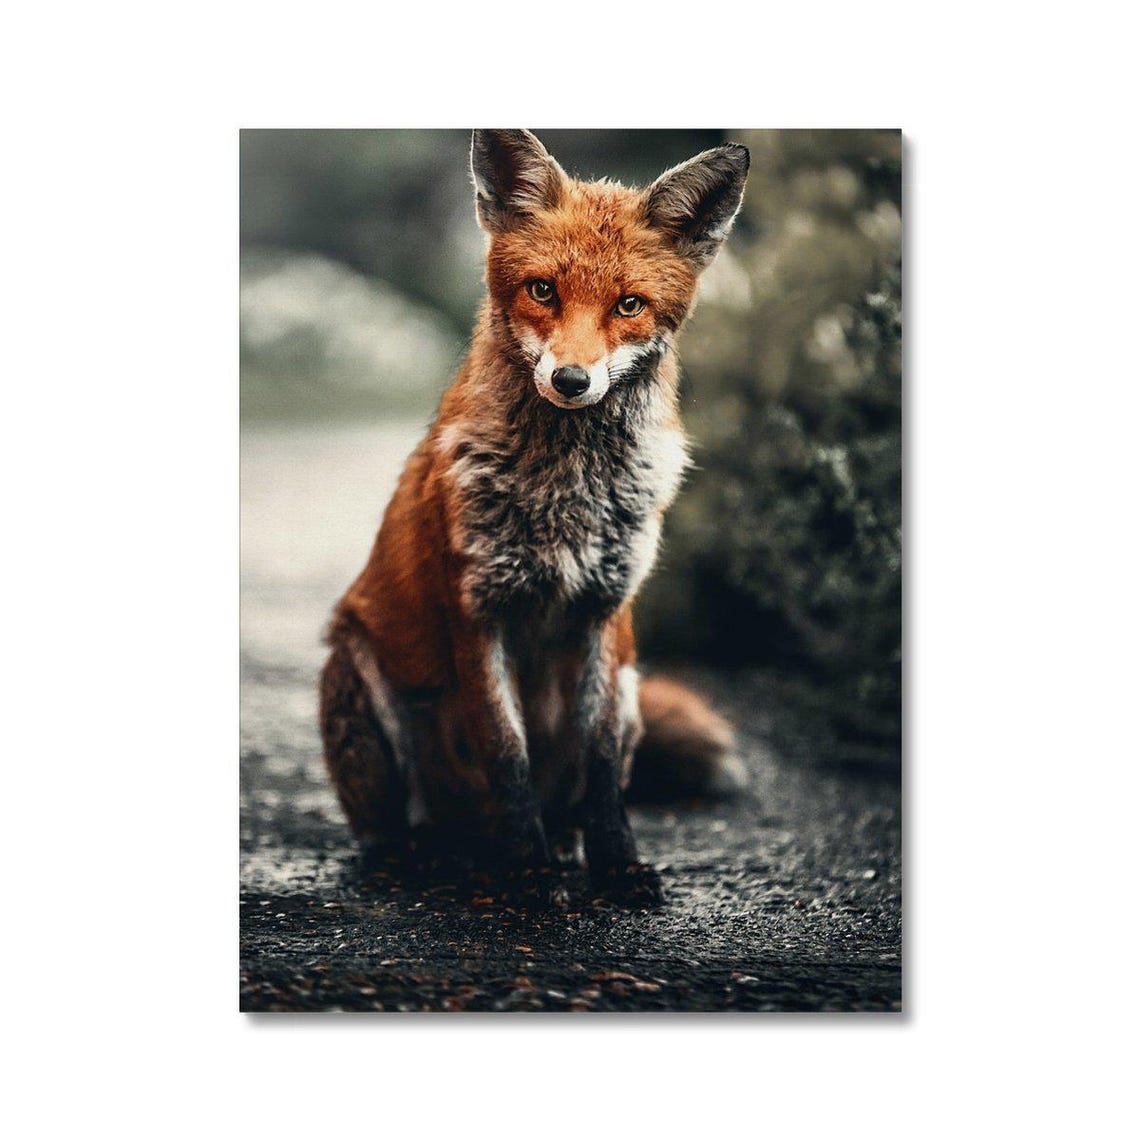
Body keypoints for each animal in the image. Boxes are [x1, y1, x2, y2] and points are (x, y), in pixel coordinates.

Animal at [319, 129, 750, 905]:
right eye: (542, 290)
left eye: (630, 304)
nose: (572, 381)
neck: (566, 496)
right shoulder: (478, 608)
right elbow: (506, 753)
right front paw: (527, 872)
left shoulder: (606, 613)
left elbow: (601, 768)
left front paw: (616, 865)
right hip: (357, 673)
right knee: (398, 828)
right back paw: (429, 856)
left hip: (634, 688)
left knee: (572, 797)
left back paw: (562, 846)